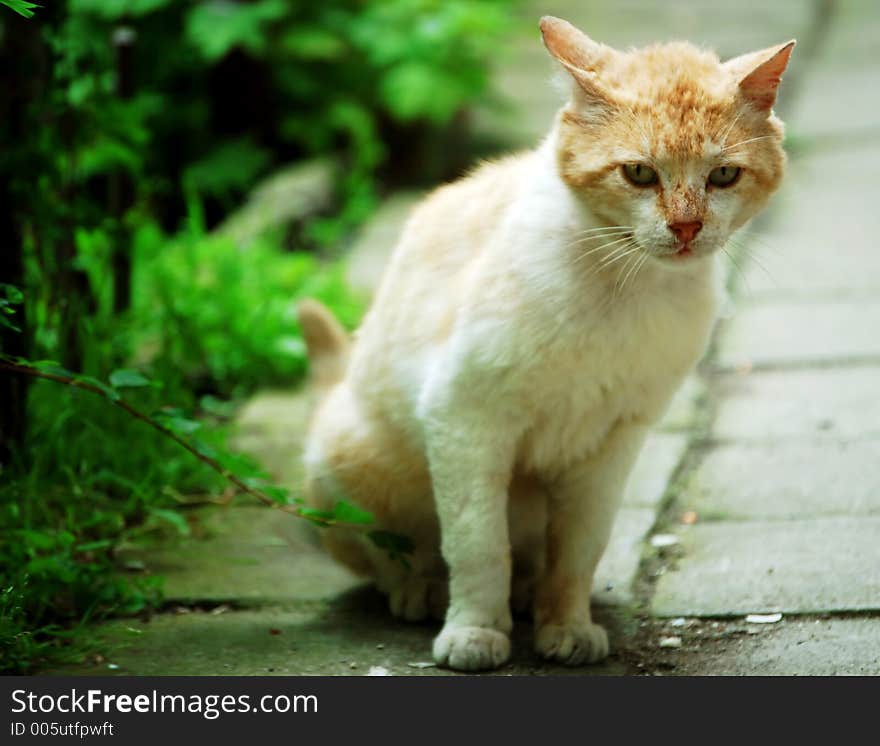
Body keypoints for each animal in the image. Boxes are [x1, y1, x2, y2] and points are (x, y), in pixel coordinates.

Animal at [296, 16, 792, 668]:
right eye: (639, 173)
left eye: (724, 175)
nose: (687, 228)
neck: (622, 288)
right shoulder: (464, 418)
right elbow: (477, 544)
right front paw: (475, 632)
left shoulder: (614, 441)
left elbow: (579, 548)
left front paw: (566, 625)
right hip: (349, 457)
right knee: (385, 550)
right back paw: (422, 588)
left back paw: (526, 594)